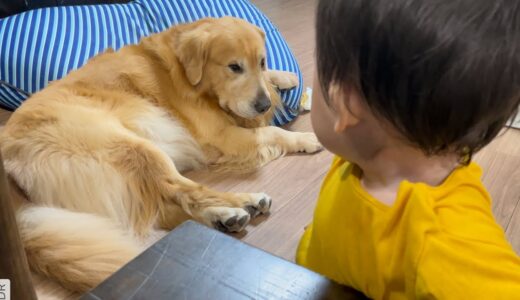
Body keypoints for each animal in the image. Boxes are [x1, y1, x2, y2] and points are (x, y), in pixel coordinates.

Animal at [0, 17, 320, 298]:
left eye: (261, 61)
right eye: (234, 67)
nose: (264, 105)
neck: (190, 76)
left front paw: (285, 77)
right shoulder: (220, 136)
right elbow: (273, 133)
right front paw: (306, 138)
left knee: (166, 209)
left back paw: (224, 217)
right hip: (135, 147)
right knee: (183, 190)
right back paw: (244, 202)